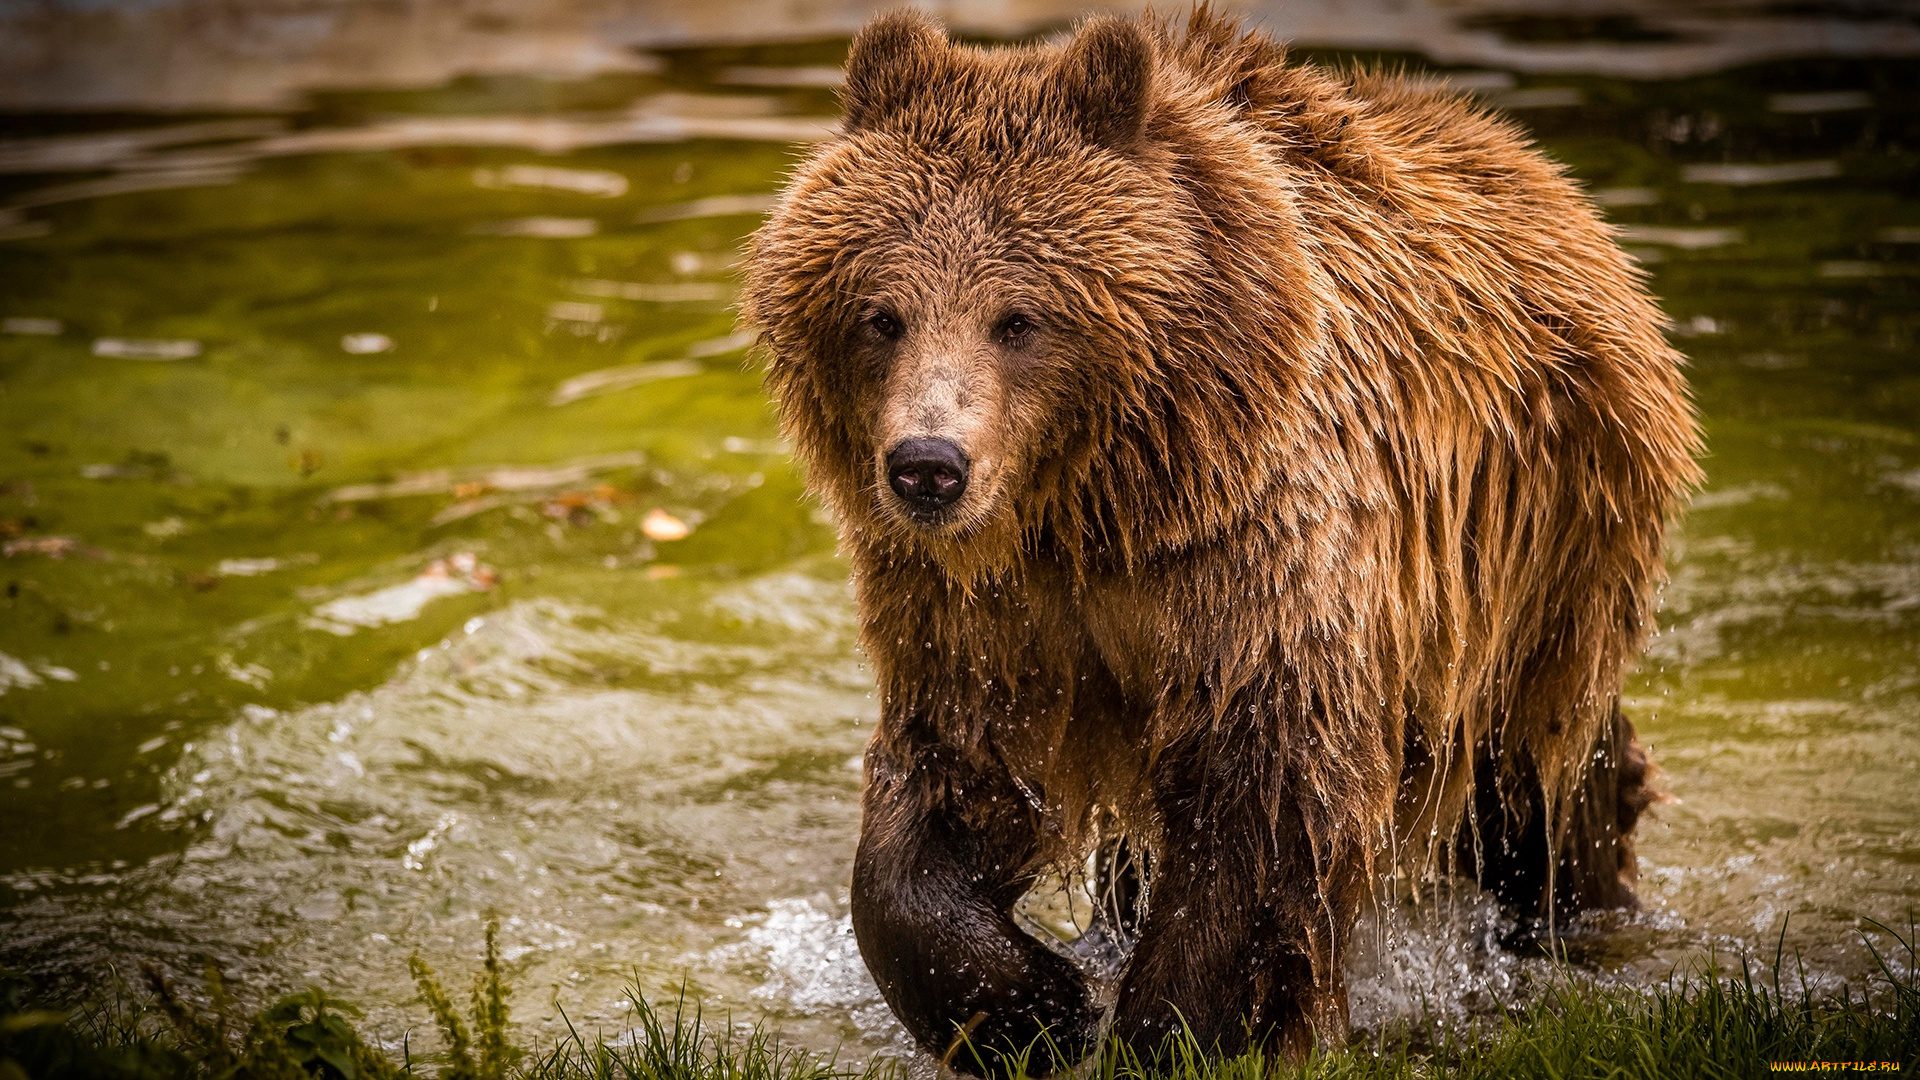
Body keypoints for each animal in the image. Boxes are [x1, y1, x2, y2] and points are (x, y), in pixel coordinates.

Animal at [741, 6, 1704, 1068]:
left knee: (1533, 778)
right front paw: (1038, 1003)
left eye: (1019, 318)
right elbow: (951, 789)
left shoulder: (1258, 569)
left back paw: (1580, 911)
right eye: (882, 314)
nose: (928, 464)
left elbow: (1265, 810)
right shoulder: (982, 612)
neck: (1098, 511)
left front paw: (1165, 1029)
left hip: (1532, 560)